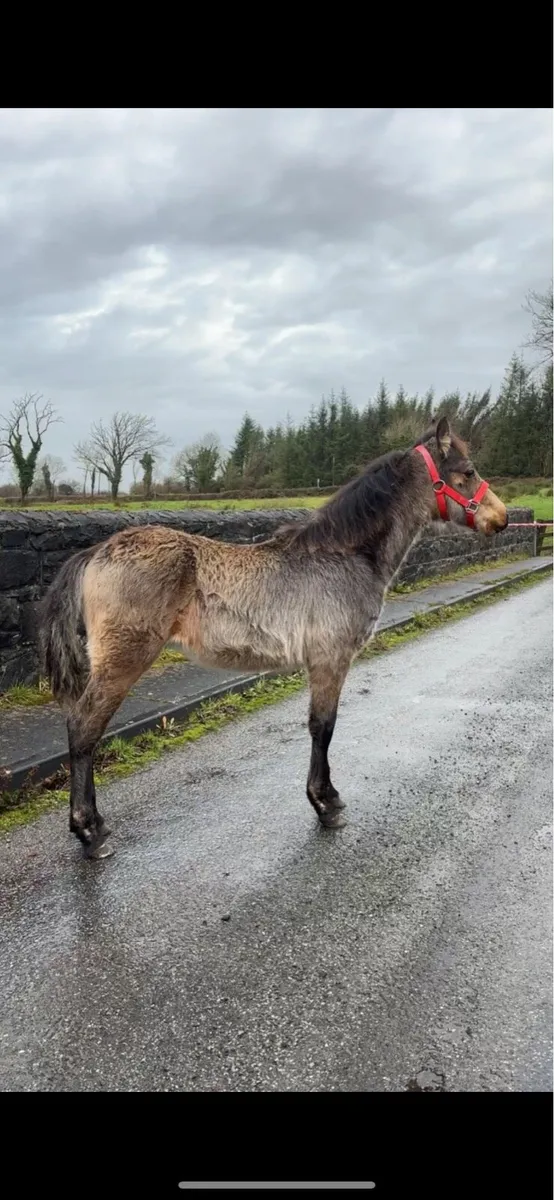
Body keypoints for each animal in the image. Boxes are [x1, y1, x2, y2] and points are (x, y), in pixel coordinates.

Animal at [39, 418, 508, 860]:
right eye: (467, 471)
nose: (501, 518)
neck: (343, 555)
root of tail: (95, 553)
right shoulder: (330, 660)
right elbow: (323, 726)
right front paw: (325, 804)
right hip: (122, 661)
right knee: (84, 729)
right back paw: (90, 833)